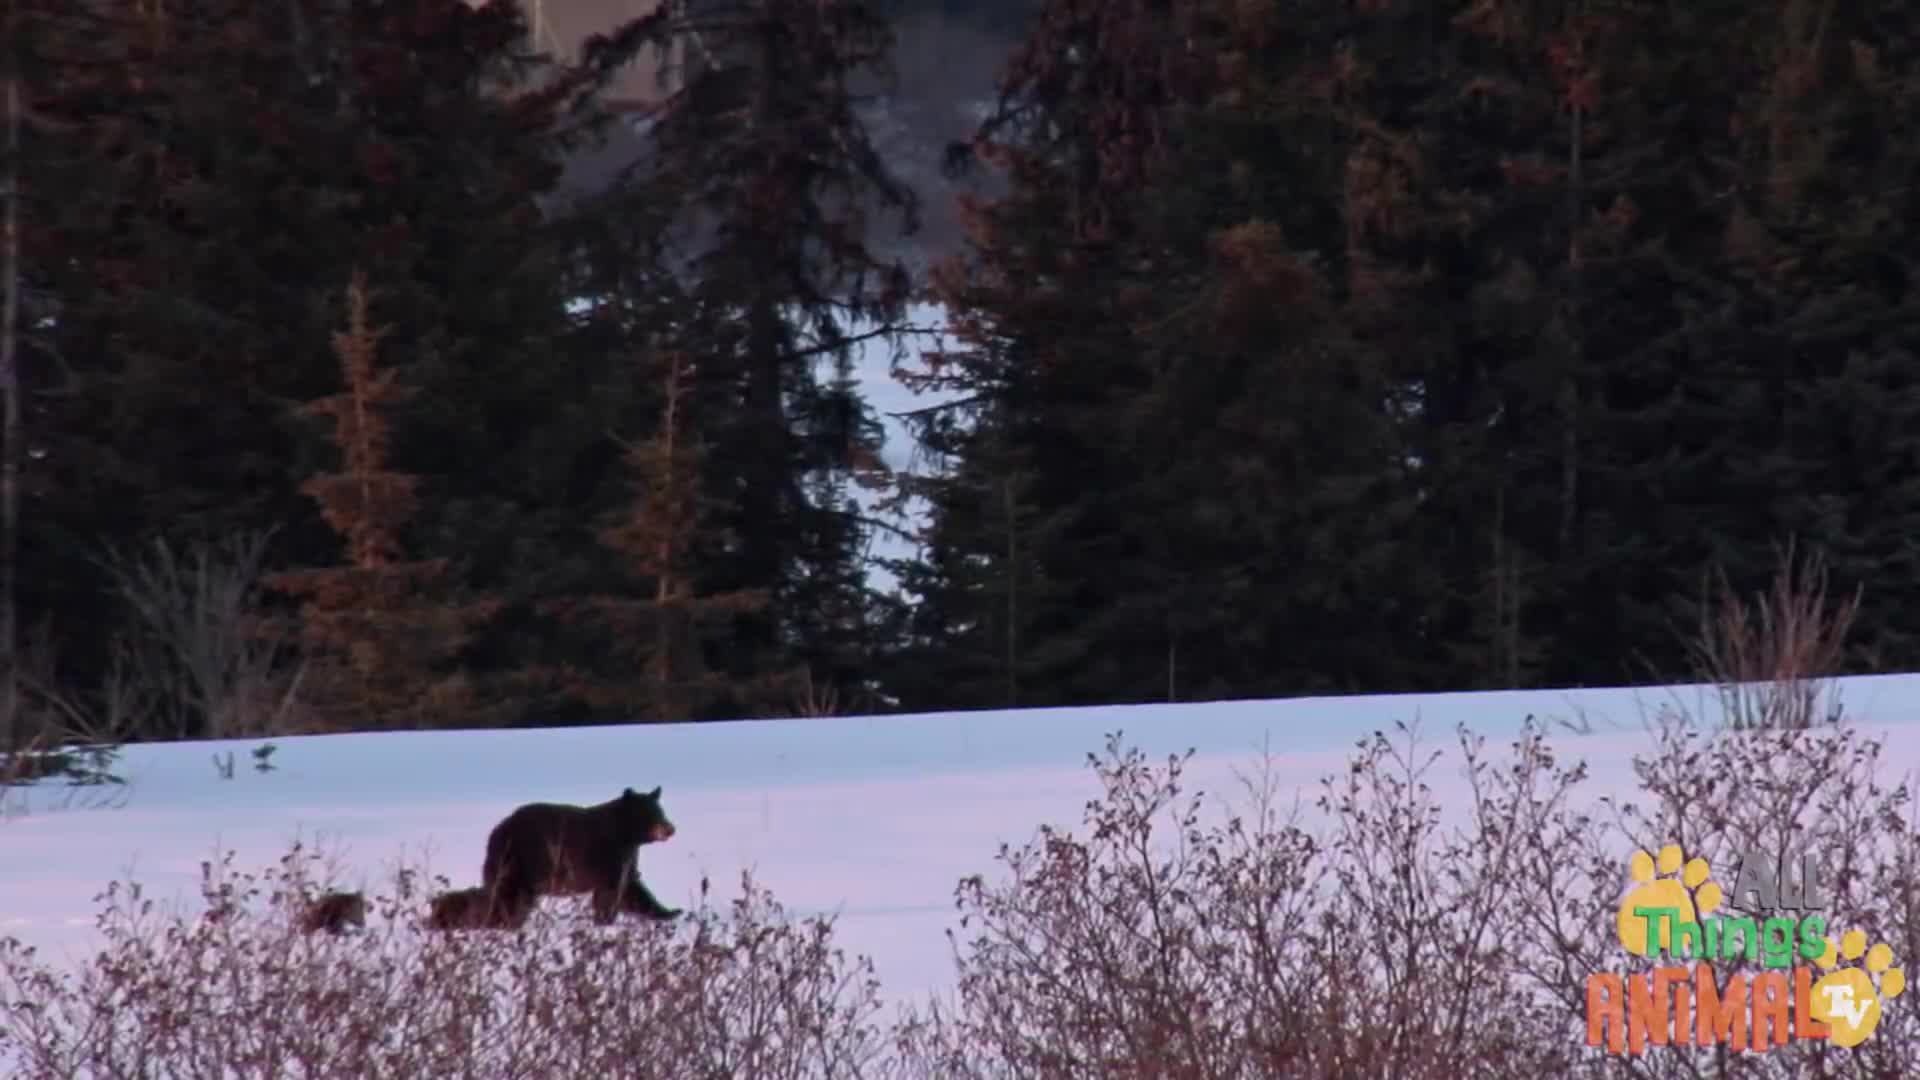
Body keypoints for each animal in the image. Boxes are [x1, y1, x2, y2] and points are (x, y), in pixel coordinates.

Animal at [479, 785, 681, 927]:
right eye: (650, 813)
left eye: (661, 810)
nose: (670, 829)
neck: (626, 834)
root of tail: (498, 831)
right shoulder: (609, 853)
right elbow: (613, 891)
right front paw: (605, 919)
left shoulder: (627, 856)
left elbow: (631, 888)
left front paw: (671, 911)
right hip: (522, 861)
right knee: (511, 897)